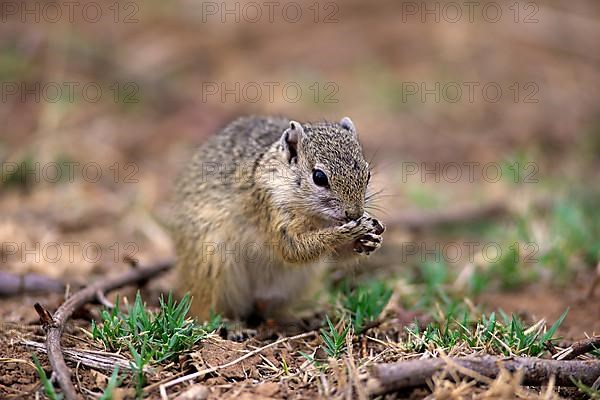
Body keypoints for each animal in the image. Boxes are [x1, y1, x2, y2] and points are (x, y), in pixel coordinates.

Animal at [170, 116, 384, 322]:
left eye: (368, 174)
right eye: (319, 177)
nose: (354, 214)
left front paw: (371, 238)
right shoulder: (271, 210)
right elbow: (293, 249)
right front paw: (348, 231)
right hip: (212, 268)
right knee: (208, 310)